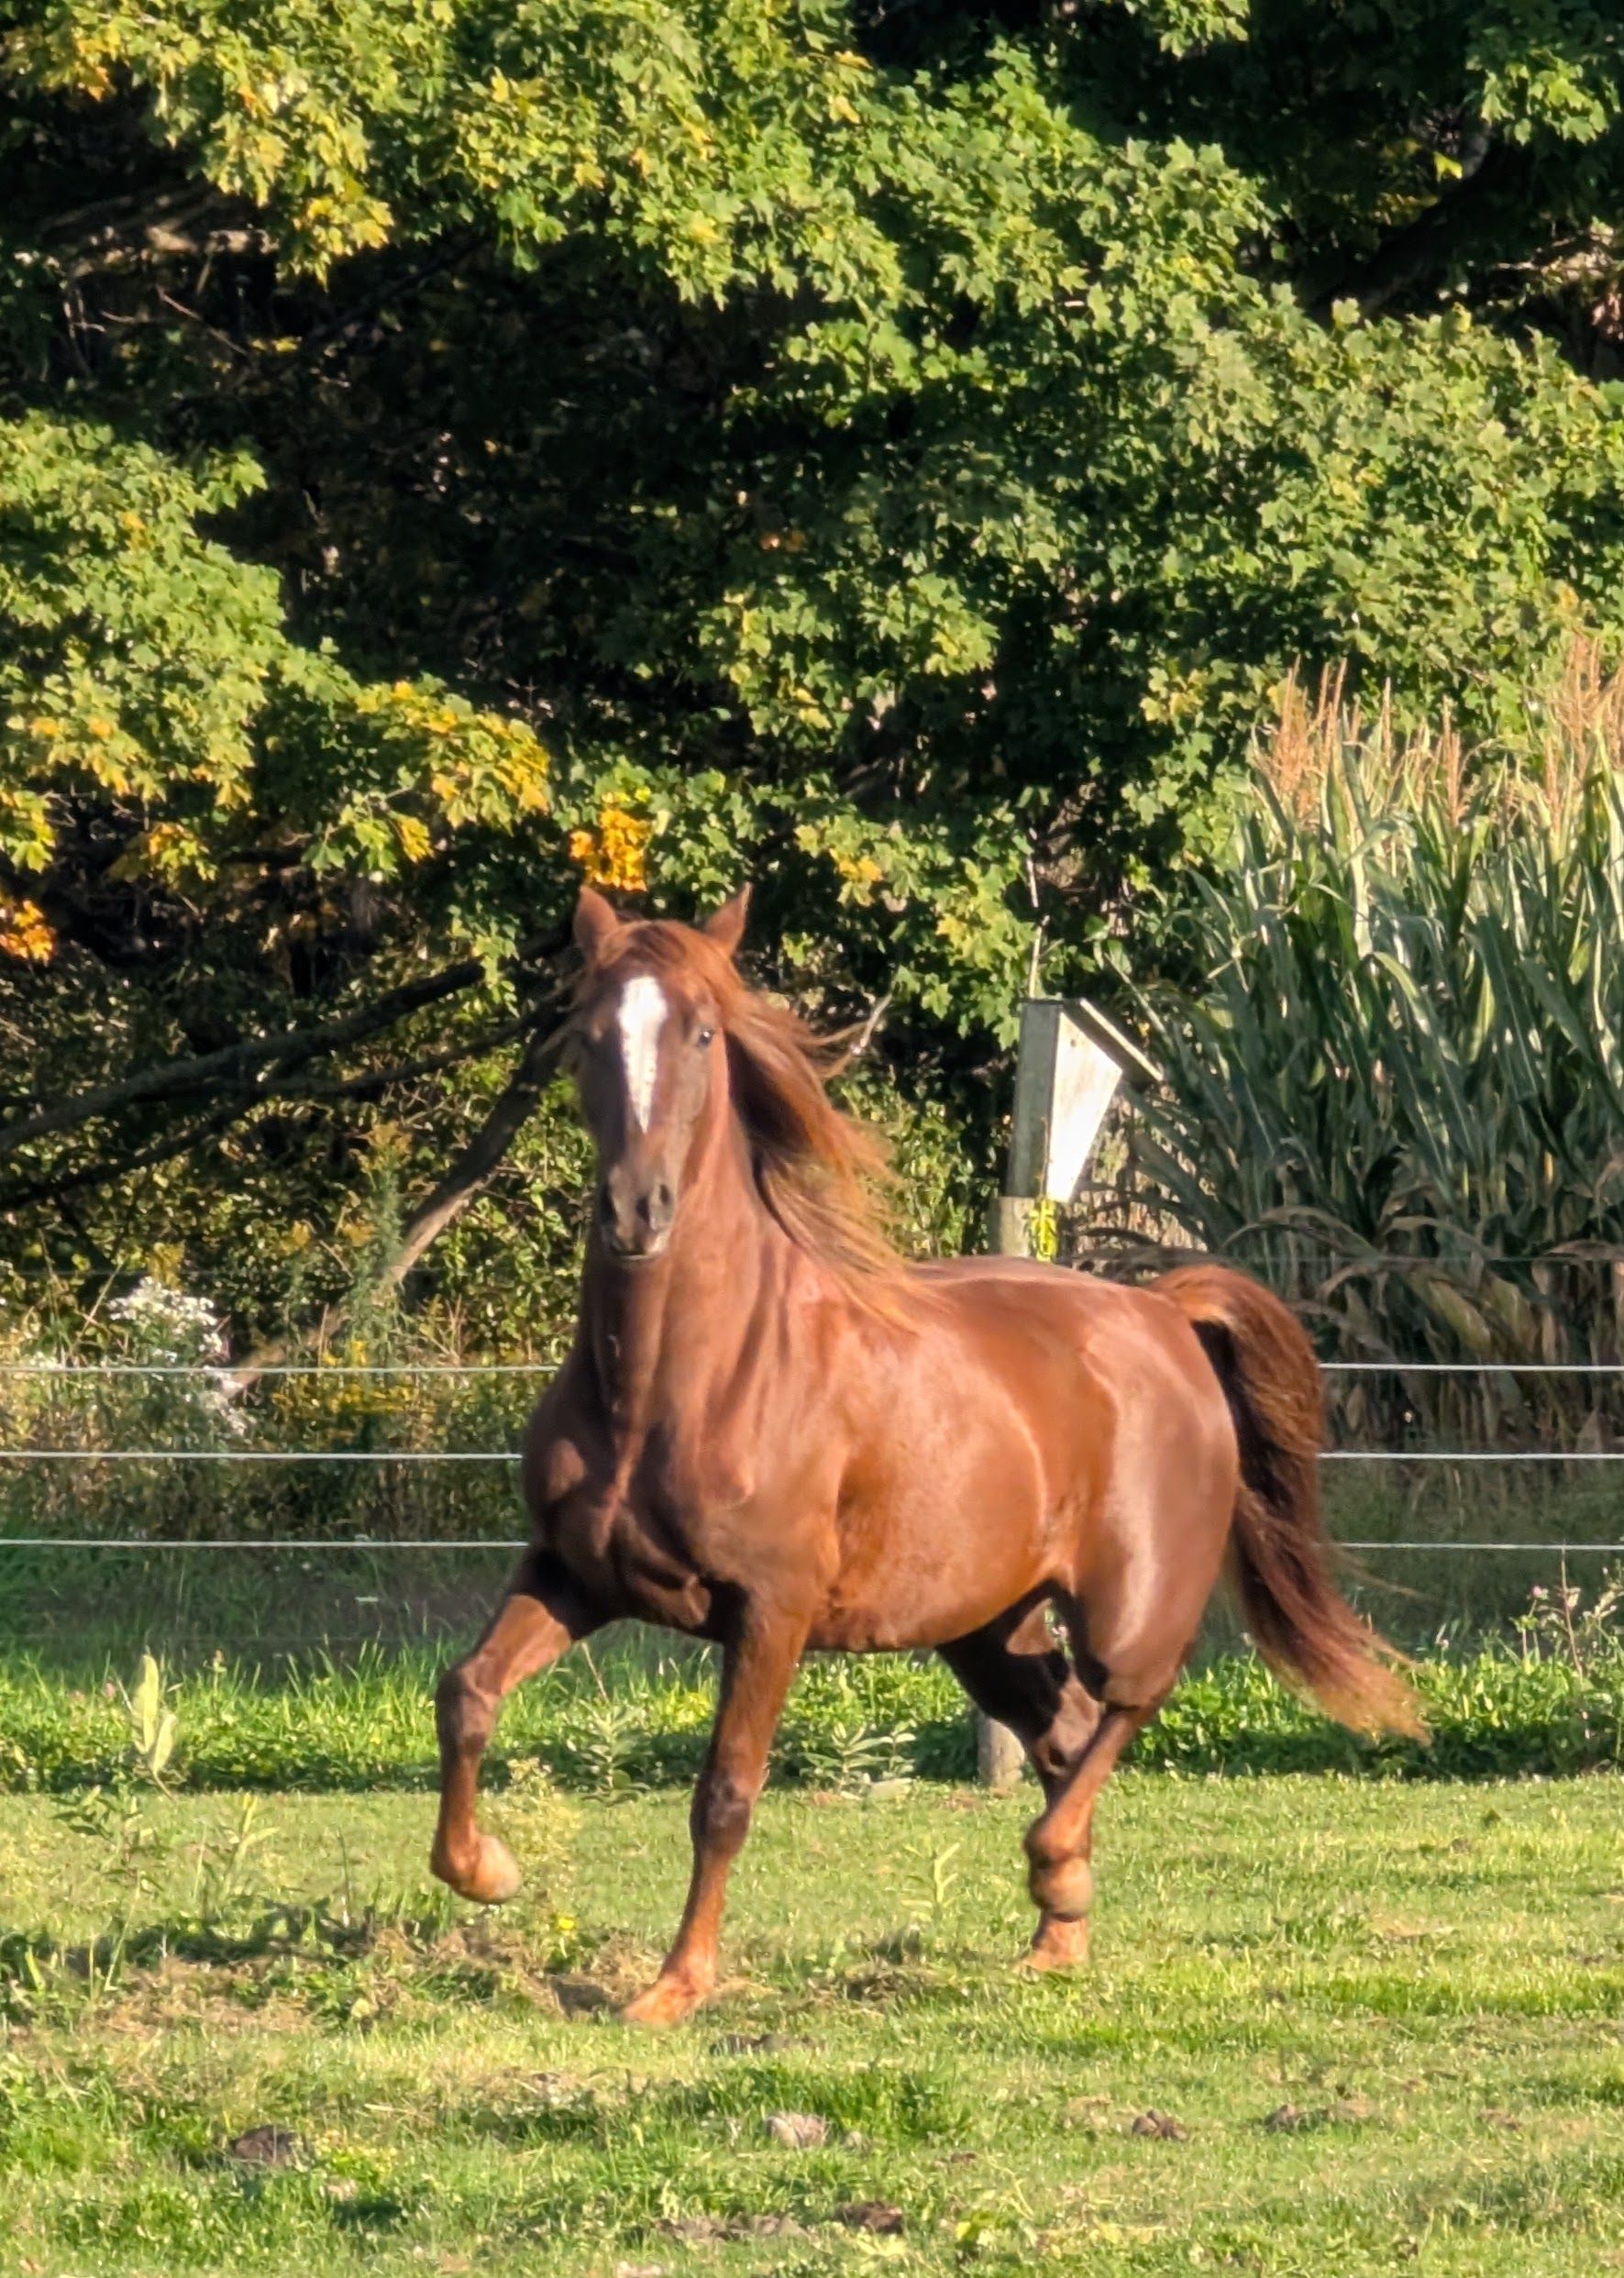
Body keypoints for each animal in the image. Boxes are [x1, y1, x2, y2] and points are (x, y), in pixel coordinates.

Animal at [429, 884, 1421, 2026]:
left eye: (704, 1033)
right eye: (585, 1034)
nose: (637, 1211)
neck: (677, 1385)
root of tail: (1161, 1312)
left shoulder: (770, 1610)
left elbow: (724, 1792)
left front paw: (674, 1987)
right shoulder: (575, 1573)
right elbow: (467, 1693)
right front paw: (488, 1871)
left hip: (1125, 1604)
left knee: (1131, 1697)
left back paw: (1053, 1867)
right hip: (989, 1627)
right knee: (1062, 1728)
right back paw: (1054, 1937)